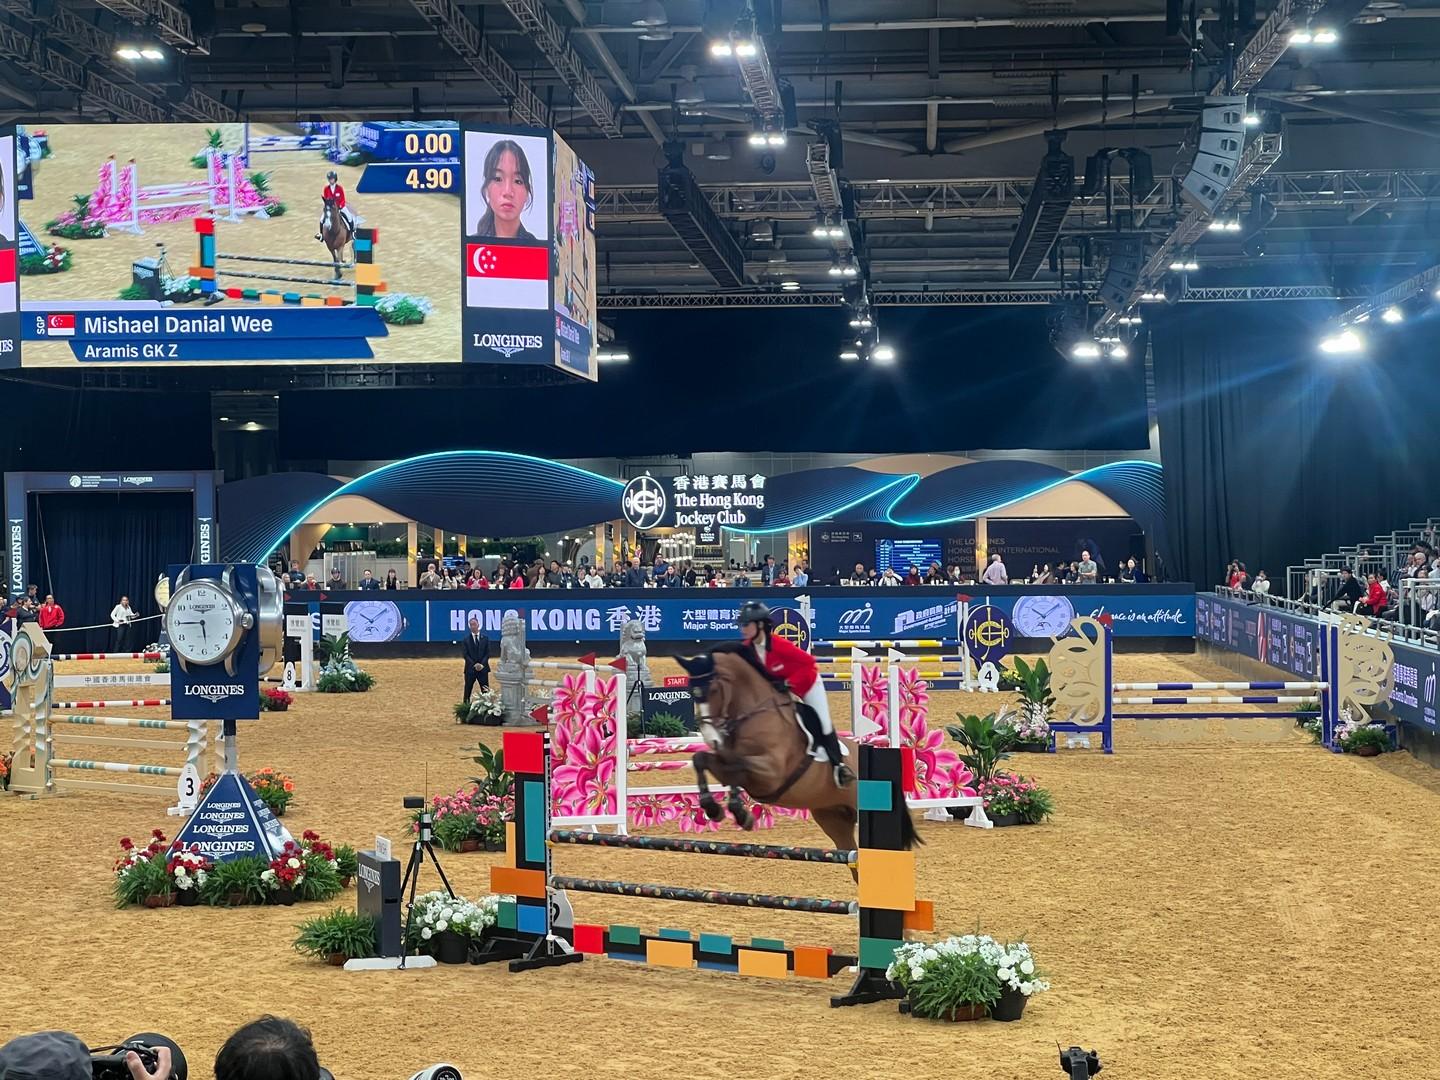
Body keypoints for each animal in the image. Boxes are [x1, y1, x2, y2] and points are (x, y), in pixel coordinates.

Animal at [675, 649, 918, 870]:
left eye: (714, 689)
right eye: (691, 692)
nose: (711, 738)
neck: (754, 716)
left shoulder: (771, 774)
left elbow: (739, 768)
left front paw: (739, 813)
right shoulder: (729, 763)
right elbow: (703, 760)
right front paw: (715, 809)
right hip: (833, 818)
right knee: (853, 857)